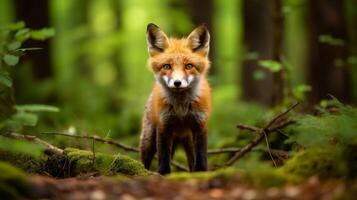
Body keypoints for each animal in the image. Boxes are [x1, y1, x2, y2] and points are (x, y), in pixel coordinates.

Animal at [139, 22, 210, 174]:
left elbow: (201, 157)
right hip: (148, 138)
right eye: (167, 66)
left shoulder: (200, 124)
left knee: (191, 161)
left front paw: (202, 172)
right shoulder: (164, 125)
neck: (181, 108)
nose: (177, 83)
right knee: (144, 160)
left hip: (188, 141)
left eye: (189, 66)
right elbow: (163, 157)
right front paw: (163, 174)